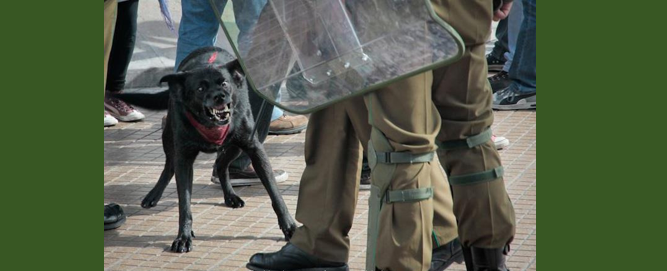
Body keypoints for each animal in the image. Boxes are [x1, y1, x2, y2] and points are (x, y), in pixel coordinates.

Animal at [115, 47, 298, 254]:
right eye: (200, 89)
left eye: (224, 83)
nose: (219, 96)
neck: (210, 125)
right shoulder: (184, 159)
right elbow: (184, 204)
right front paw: (184, 237)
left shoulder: (254, 149)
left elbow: (275, 194)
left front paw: (290, 227)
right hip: (169, 137)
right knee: (170, 165)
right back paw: (153, 195)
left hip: (235, 146)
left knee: (221, 165)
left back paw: (230, 196)